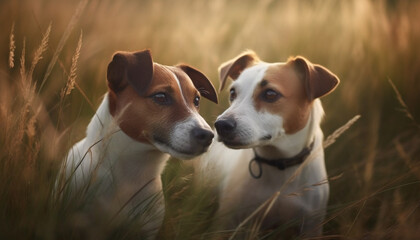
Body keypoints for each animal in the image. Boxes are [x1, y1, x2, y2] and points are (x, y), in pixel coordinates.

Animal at [199, 50, 338, 236]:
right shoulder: (228, 221)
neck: (278, 162)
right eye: (233, 92)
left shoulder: (310, 225)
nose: (220, 125)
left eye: (270, 94)